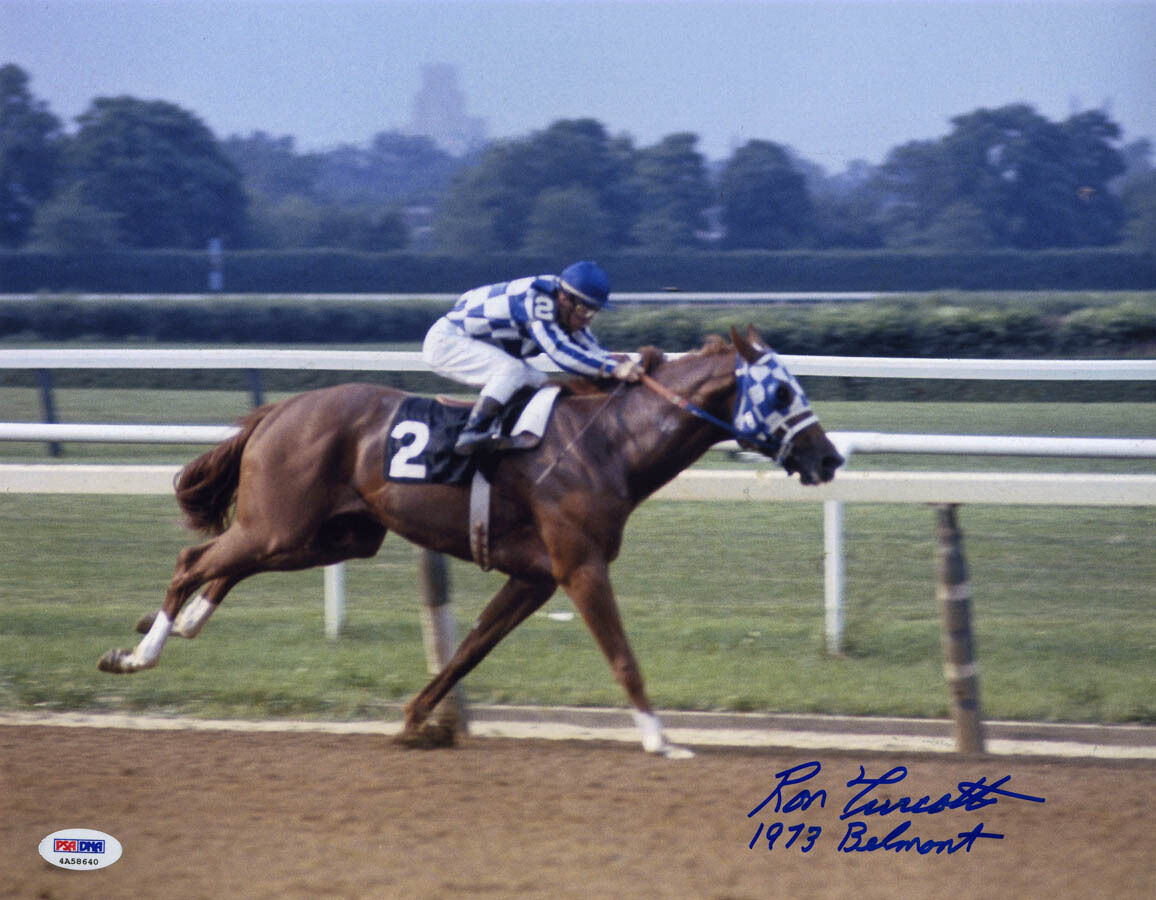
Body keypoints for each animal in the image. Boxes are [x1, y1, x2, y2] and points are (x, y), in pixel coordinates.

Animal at [97, 325, 841, 762]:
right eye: (781, 391)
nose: (828, 457)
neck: (607, 442)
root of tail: (279, 408)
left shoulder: (535, 577)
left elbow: (468, 652)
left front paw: (415, 721)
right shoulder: (579, 566)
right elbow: (622, 656)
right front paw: (661, 739)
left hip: (330, 535)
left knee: (226, 565)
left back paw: (184, 623)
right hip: (283, 523)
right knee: (194, 559)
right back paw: (137, 654)